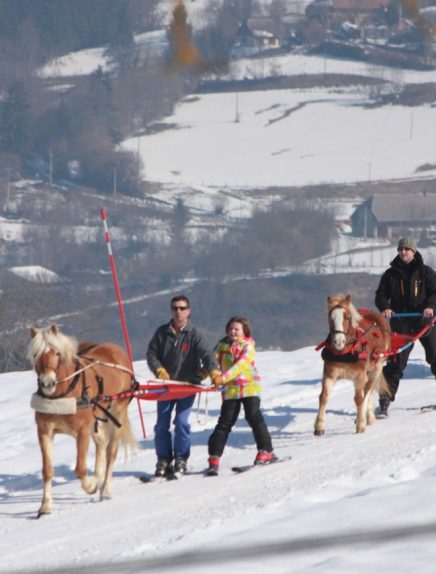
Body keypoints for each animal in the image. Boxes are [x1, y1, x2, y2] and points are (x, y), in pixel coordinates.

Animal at [27, 326, 136, 520]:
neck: (63, 393)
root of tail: (115, 349)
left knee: (111, 451)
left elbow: (80, 469)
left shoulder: (82, 432)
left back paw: (105, 488)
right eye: (35, 353)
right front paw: (45, 506)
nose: (47, 383)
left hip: (117, 411)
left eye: (56, 353)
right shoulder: (44, 432)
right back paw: (100, 478)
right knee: (101, 443)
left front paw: (91, 486)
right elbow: (47, 470)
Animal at [314, 296, 392, 436]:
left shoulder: (359, 376)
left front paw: (360, 424)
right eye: (330, 317)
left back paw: (364, 417)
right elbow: (323, 397)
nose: (338, 342)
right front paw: (319, 426)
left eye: (346, 317)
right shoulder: (329, 374)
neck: (344, 351)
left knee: (367, 392)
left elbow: (359, 398)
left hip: (376, 369)